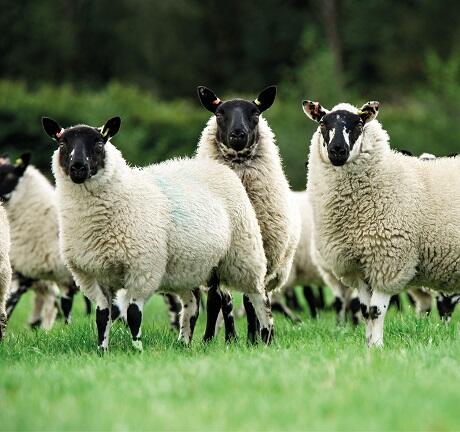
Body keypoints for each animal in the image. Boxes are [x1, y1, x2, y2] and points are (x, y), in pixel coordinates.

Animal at [42, 115, 274, 352]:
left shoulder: (142, 268)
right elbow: (102, 316)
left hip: (243, 253)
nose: (78, 167)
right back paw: (184, 343)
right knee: (194, 304)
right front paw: (102, 350)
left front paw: (137, 349)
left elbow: (133, 314)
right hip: (189, 266)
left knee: (259, 296)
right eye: (62, 144)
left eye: (99, 143)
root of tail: (215, 166)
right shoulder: (91, 275)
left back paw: (267, 339)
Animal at [195, 84, 300, 340]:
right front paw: (210, 339)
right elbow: (217, 301)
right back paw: (231, 337)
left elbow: (250, 302)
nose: (238, 134)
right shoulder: (216, 263)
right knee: (227, 300)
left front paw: (254, 338)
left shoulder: (260, 256)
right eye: (219, 113)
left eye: (255, 113)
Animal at [302, 99, 460, 346]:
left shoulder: (387, 260)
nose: (337, 150)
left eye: (358, 124)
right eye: (323, 123)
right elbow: (364, 310)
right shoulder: (360, 268)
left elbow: (375, 310)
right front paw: (368, 345)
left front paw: (377, 347)